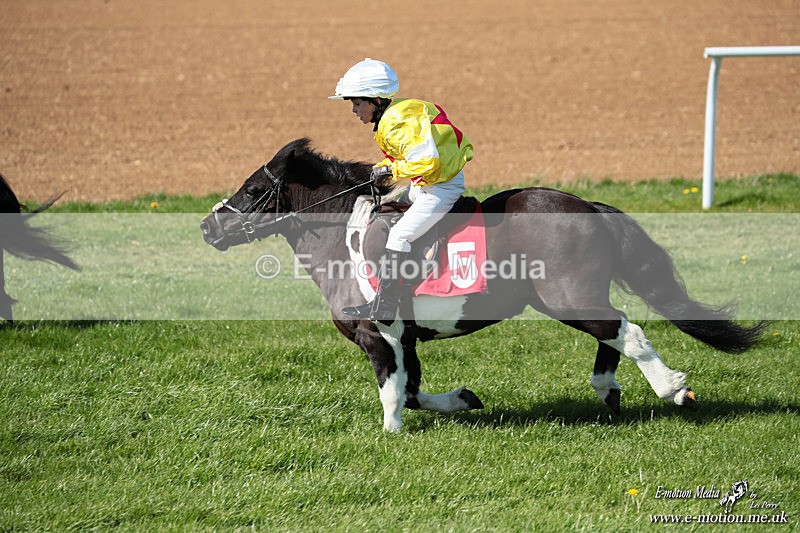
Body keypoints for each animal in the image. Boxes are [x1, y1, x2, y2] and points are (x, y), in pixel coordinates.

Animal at [200, 138, 765, 432]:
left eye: (252, 189)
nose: (207, 226)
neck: (344, 238)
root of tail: (587, 205)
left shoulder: (378, 337)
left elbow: (393, 394)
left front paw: (389, 437)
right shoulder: (405, 340)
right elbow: (415, 390)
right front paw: (464, 399)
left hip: (568, 298)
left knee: (627, 331)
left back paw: (673, 389)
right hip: (573, 299)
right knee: (614, 333)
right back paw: (609, 389)